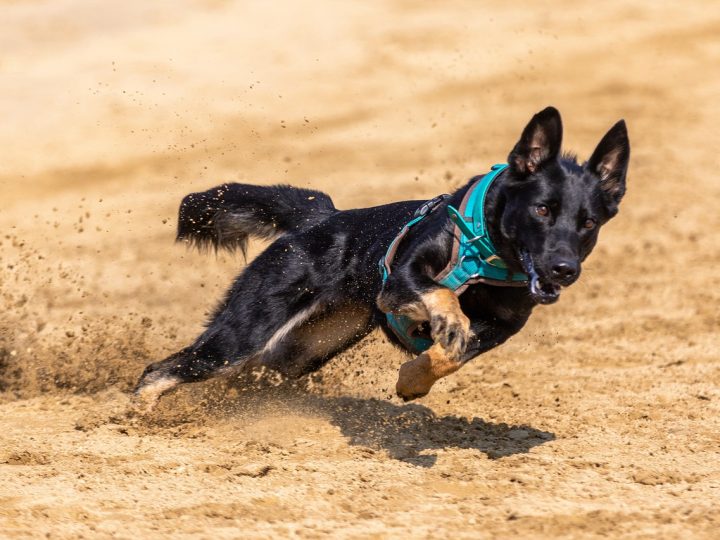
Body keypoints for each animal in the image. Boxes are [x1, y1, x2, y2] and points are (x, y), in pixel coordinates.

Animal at [135, 105, 632, 410]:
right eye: (542, 209)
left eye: (589, 222)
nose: (564, 269)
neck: (492, 251)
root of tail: (322, 219)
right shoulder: (402, 280)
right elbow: (443, 299)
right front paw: (447, 323)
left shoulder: (502, 327)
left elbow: (452, 354)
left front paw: (414, 377)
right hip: (246, 329)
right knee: (163, 368)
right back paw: (138, 415)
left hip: (304, 348)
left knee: (246, 372)